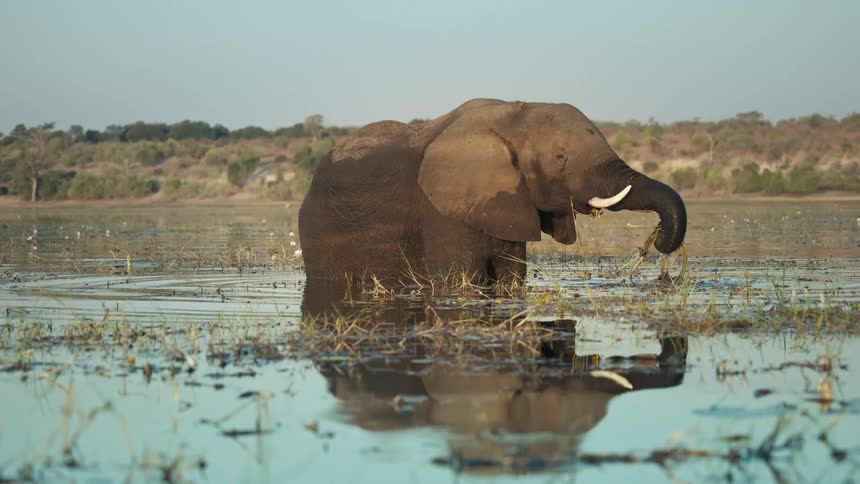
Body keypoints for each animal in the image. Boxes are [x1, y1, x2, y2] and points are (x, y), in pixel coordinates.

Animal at [299, 99, 687, 287]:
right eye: (561, 158)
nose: (658, 242)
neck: (509, 118)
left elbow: (512, 276)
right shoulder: (440, 210)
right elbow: (462, 281)